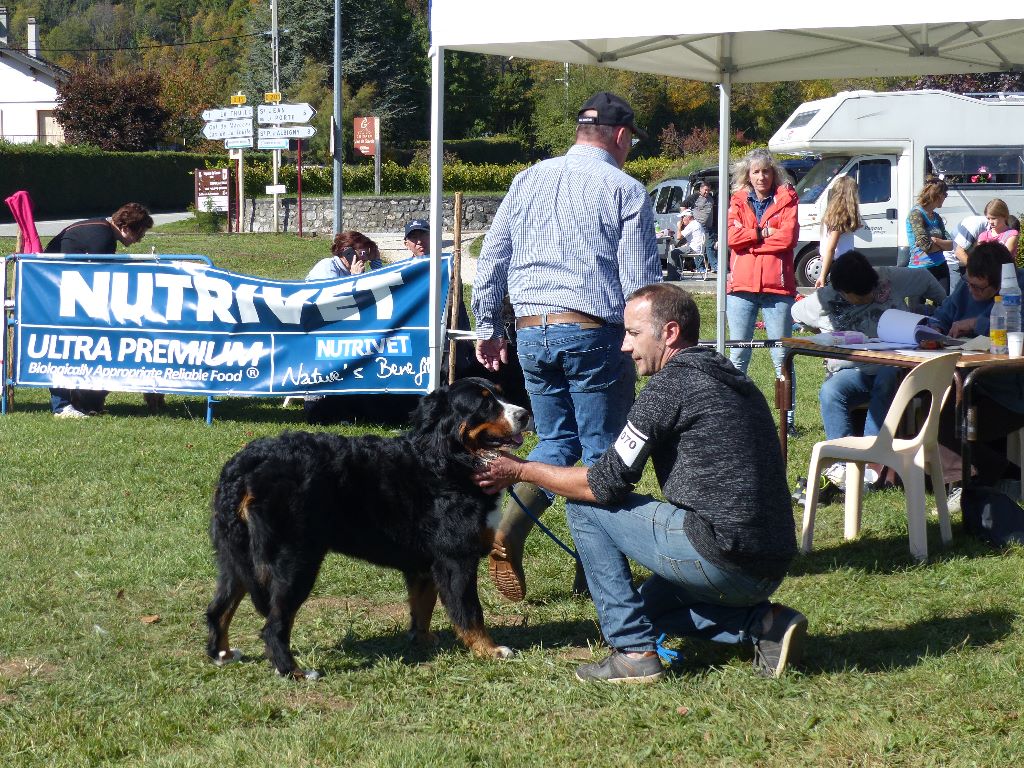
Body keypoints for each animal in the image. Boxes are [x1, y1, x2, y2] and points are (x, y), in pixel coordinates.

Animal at [204, 378, 532, 679]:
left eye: (501, 394)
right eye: (485, 404)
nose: (525, 414)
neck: (447, 459)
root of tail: (244, 466)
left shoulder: (424, 564)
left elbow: (423, 604)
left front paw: (423, 639)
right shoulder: (456, 558)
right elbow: (469, 611)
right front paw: (488, 649)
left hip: (235, 558)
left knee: (218, 609)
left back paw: (222, 654)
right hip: (294, 562)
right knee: (273, 626)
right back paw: (294, 672)